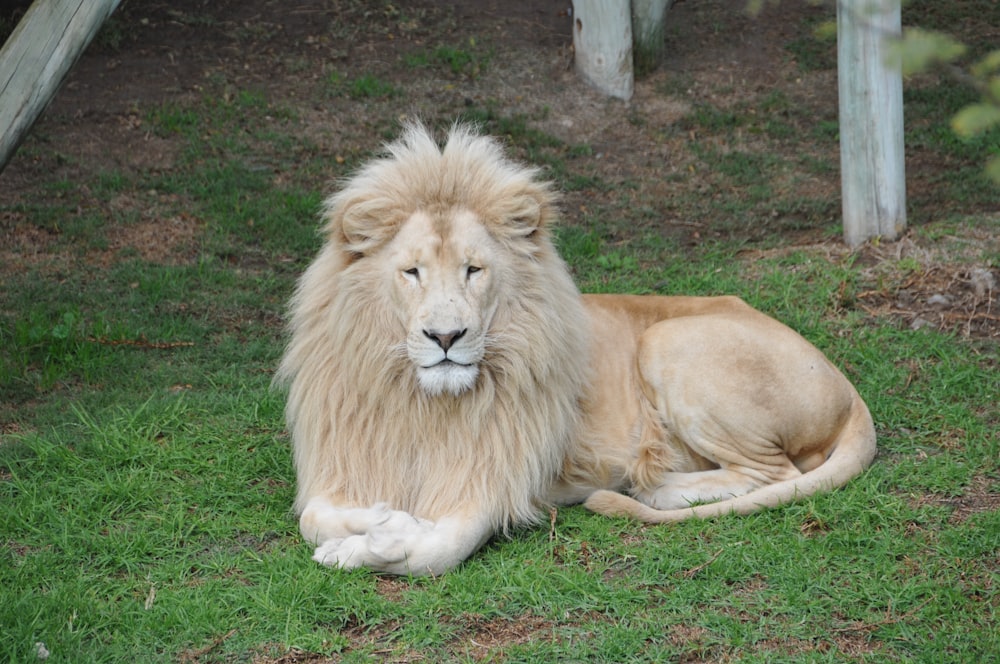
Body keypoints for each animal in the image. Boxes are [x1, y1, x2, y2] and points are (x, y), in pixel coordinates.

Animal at [276, 123, 876, 576]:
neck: (422, 401)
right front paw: (375, 523)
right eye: (412, 273)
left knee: (777, 476)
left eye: (474, 270)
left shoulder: (500, 477)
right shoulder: (343, 462)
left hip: (668, 341)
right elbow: (313, 517)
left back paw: (652, 488)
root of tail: (851, 393)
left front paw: (379, 538)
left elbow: (438, 550)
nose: (446, 339)